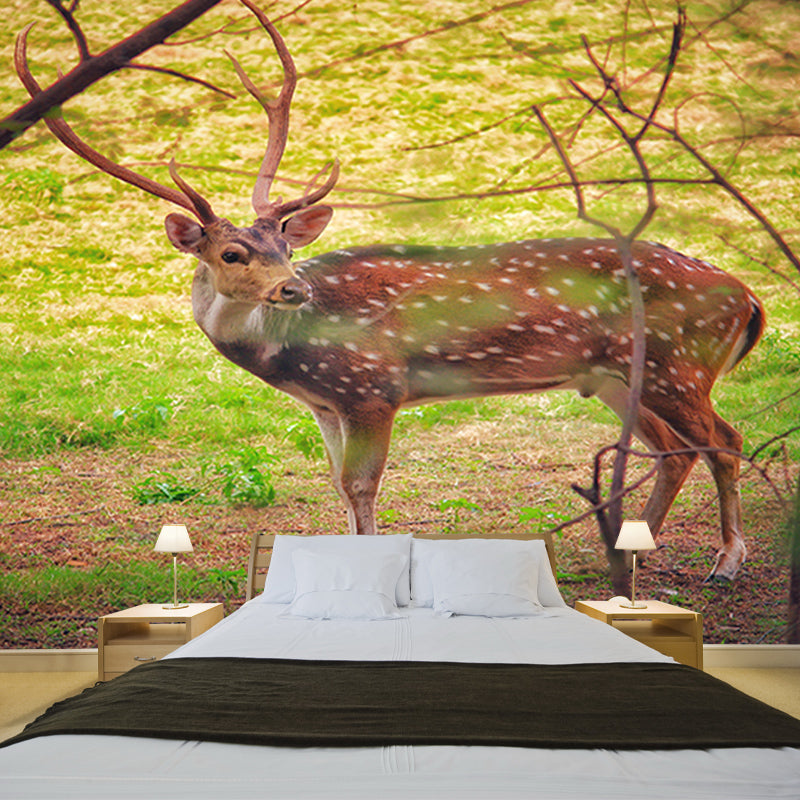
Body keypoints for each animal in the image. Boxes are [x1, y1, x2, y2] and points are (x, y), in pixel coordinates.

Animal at [16, 0, 764, 582]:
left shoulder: (372, 387)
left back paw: (726, 561)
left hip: (676, 362)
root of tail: (749, 299)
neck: (289, 356)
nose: (291, 289)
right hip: (617, 374)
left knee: (724, 437)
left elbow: (361, 485)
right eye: (233, 252)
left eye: (287, 246)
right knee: (676, 448)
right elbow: (339, 488)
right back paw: (631, 551)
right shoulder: (325, 403)